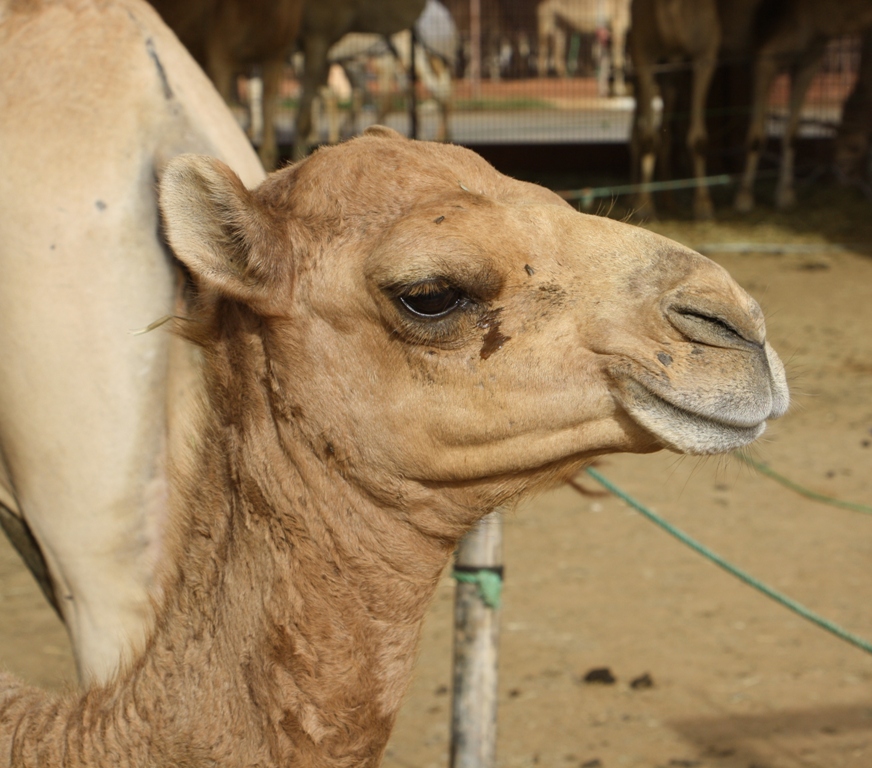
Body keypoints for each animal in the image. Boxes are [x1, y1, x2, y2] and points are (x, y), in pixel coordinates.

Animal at [628, 0, 724, 219]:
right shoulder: (642, 51)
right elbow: (648, 138)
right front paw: (645, 205)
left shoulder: (706, 51)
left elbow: (698, 139)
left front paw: (704, 205)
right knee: (638, 130)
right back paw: (636, 197)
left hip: (671, 76)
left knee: (667, 130)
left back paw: (669, 202)